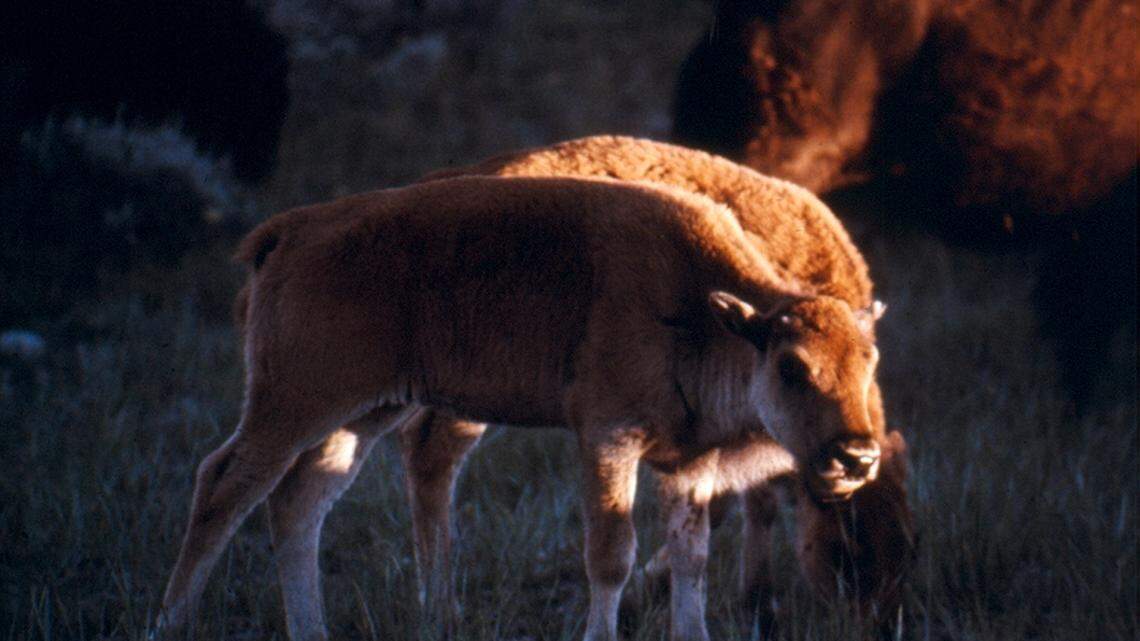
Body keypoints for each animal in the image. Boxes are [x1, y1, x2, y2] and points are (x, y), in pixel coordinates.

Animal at [158, 174, 888, 641]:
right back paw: (170, 623)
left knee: (299, 502)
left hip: (361, 413)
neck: (706, 310)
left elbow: (692, 557)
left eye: (869, 361)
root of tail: (288, 230)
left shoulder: (690, 459)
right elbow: (612, 553)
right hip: (293, 403)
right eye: (792, 366)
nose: (857, 455)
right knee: (224, 487)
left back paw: (311, 631)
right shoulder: (608, 438)